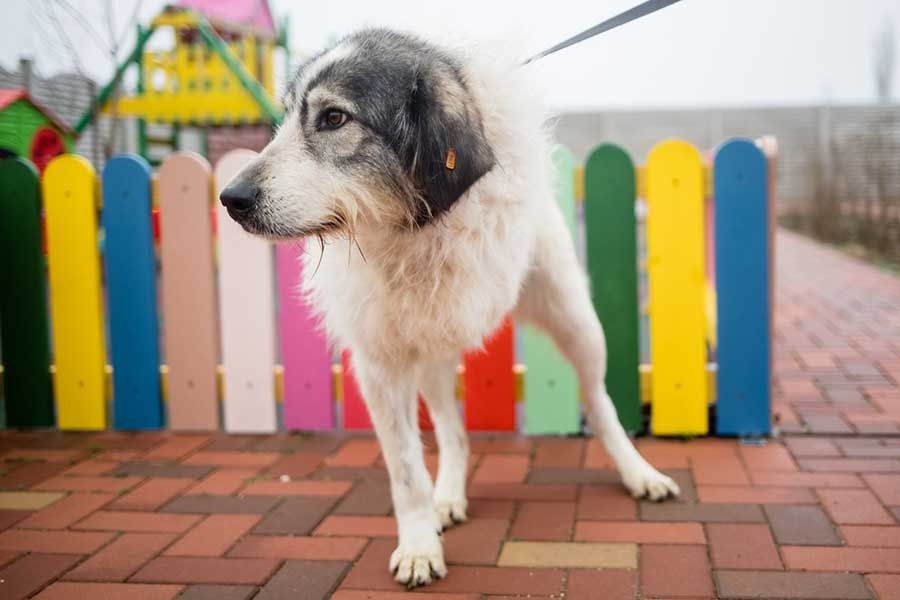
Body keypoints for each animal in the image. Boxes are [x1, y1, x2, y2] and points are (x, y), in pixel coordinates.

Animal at [221, 28, 680, 584]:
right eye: (286, 115)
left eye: (333, 118)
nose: (231, 199)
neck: (412, 233)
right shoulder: (382, 366)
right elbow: (406, 471)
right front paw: (420, 542)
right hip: (433, 358)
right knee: (452, 430)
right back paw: (449, 496)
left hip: (579, 326)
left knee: (600, 402)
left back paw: (638, 472)